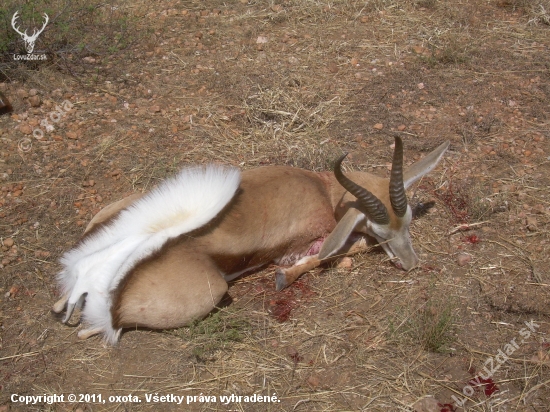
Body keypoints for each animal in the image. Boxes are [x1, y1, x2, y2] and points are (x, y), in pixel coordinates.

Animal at [51, 137, 450, 342]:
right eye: (382, 229)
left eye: (408, 221)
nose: (411, 264)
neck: (322, 189)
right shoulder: (312, 242)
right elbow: (335, 252)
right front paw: (283, 279)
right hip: (211, 292)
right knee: (90, 329)